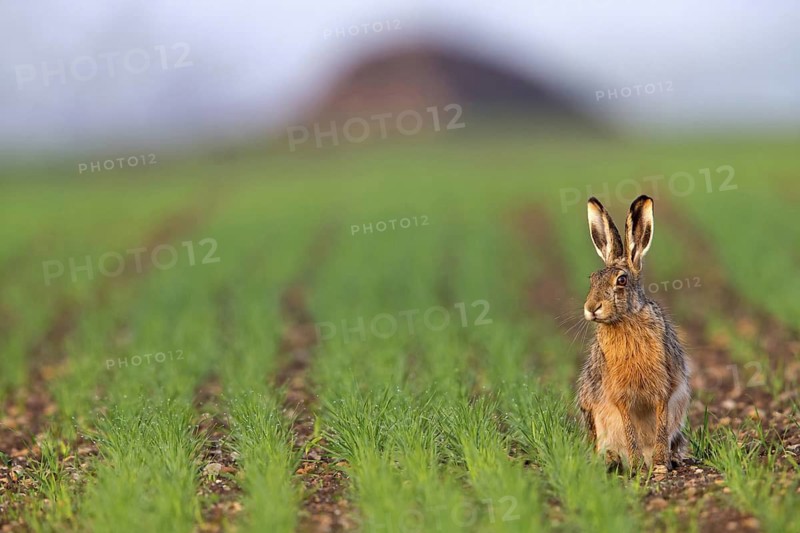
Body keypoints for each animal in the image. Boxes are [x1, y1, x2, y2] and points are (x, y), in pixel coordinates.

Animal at [576, 195, 690, 471]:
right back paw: (614, 461)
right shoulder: (618, 394)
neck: (625, 319)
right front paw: (638, 465)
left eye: (622, 280)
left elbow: (660, 421)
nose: (591, 308)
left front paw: (660, 463)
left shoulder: (664, 387)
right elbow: (629, 428)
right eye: (592, 279)